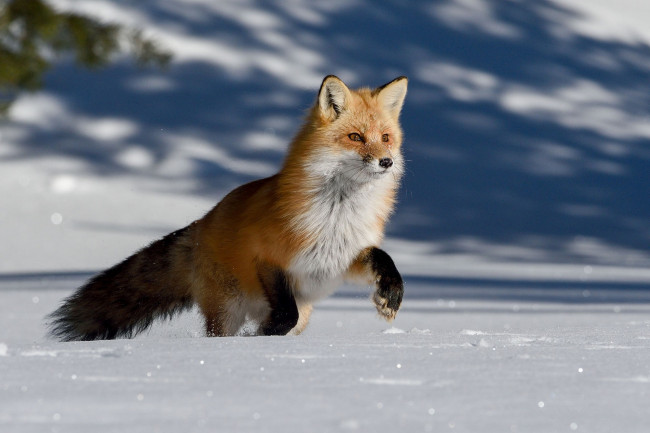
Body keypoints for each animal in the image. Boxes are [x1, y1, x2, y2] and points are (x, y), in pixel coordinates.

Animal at [48, 75, 404, 340]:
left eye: (386, 138)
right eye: (356, 137)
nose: (386, 162)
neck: (336, 215)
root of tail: (202, 222)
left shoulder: (340, 260)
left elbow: (381, 257)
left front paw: (391, 294)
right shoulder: (268, 259)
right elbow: (284, 315)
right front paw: (261, 336)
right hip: (227, 309)